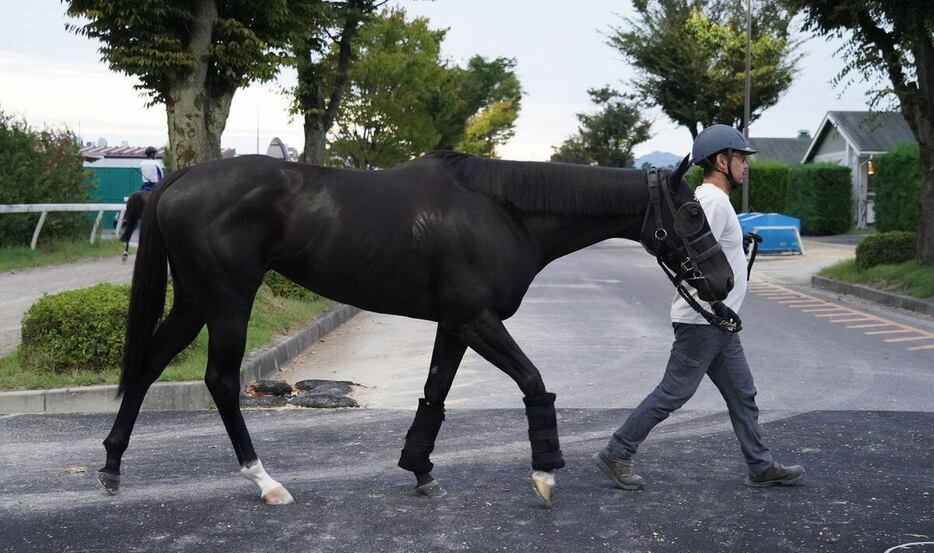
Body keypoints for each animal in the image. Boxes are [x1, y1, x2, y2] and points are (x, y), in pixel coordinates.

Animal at [97, 150, 740, 504]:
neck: (501, 211)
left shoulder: (455, 324)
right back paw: (266, 482)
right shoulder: (478, 321)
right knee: (222, 382)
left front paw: (421, 471)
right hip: (228, 301)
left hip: (196, 301)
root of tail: (179, 179)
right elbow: (534, 382)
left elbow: (435, 391)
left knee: (151, 362)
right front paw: (544, 474)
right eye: (691, 212)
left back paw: (110, 466)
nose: (725, 280)